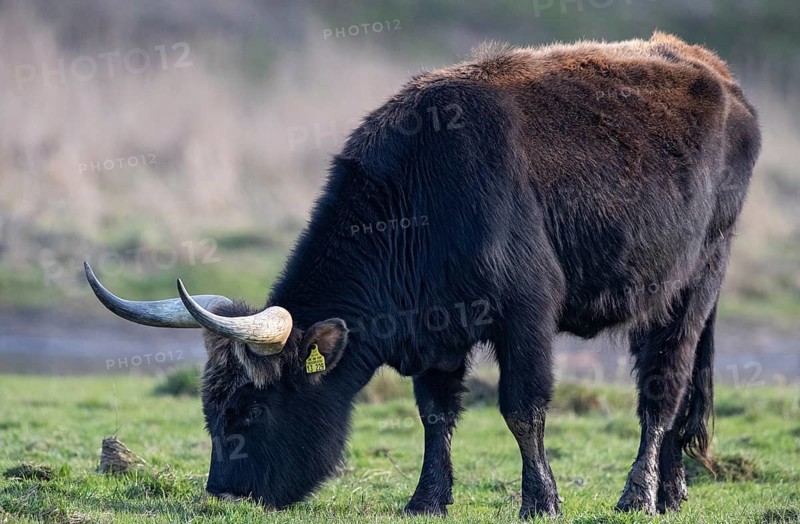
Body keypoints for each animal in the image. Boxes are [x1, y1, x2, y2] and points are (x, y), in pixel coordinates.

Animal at [85, 32, 760, 517]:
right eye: (210, 410)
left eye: (246, 412)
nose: (224, 492)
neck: (422, 195)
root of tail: (719, 77)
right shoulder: (438, 334)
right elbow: (435, 415)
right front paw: (427, 499)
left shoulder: (526, 316)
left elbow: (523, 408)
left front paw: (541, 501)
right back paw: (671, 491)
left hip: (695, 285)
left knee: (663, 390)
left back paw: (637, 495)